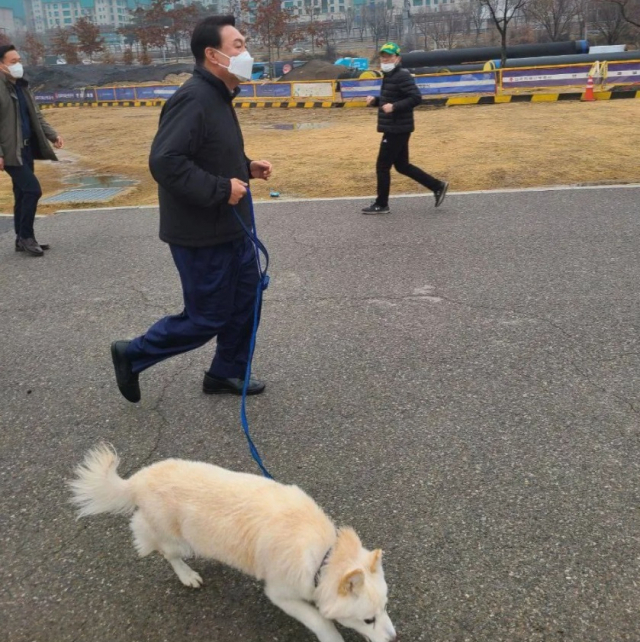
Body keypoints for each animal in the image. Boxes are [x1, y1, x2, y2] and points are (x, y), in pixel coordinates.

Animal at [71, 442, 396, 640]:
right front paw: (333, 636)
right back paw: (187, 575)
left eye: (385, 607)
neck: (324, 556)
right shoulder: (280, 593)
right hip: (178, 539)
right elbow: (320, 620)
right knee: (161, 549)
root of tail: (137, 479)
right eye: (368, 620)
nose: (394, 638)